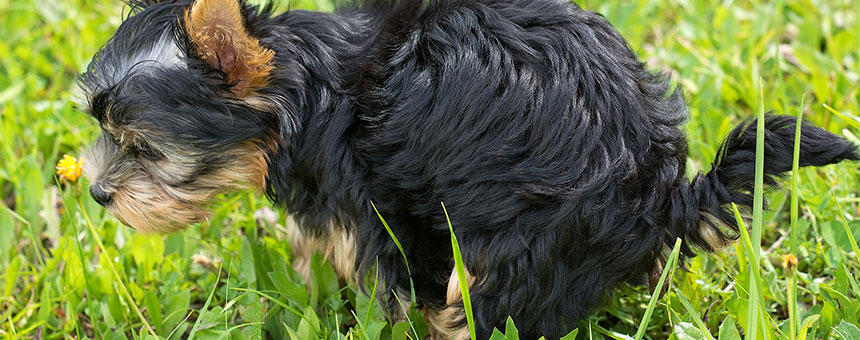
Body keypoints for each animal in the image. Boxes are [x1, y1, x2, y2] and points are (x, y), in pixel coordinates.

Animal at [77, 0, 856, 338]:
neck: (309, 89)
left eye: (145, 148)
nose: (97, 193)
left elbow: (382, 273)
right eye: (105, 133)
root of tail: (662, 196)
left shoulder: (375, 200)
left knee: (487, 305)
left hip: (525, 241)